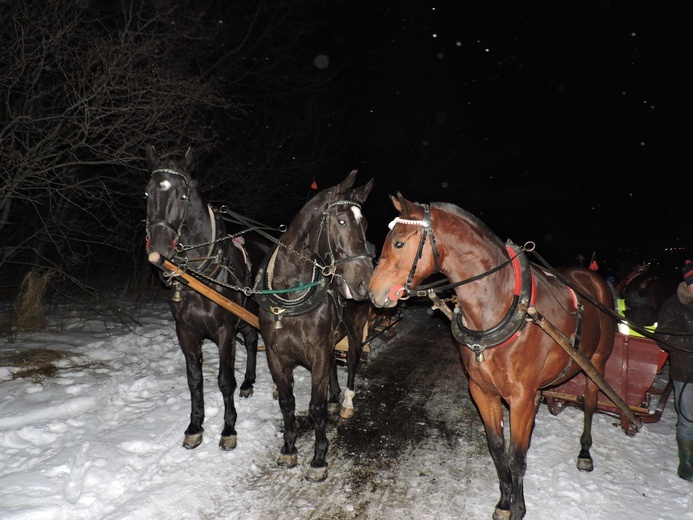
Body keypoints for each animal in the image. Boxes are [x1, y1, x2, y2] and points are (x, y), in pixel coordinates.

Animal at [145, 145, 270, 450]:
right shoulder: (186, 331)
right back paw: (249, 382)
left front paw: (229, 429)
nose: (159, 248)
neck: (201, 273)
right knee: (251, 340)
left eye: (183, 194)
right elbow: (194, 380)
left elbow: (225, 380)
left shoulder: (224, 331)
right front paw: (195, 426)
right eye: (148, 193)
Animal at [254, 170, 374, 480]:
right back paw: (335, 395)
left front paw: (319, 458)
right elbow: (287, 403)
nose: (365, 284)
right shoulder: (276, 355)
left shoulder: (318, 351)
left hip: (355, 331)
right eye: (341, 220)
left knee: (352, 360)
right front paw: (288, 449)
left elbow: (316, 407)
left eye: (365, 223)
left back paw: (345, 401)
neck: (290, 297)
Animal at [368, 193, 616, 516]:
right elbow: (497, 449)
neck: (500, 307)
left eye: (398, 243)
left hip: (595, 362)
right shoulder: (482, 391)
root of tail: (593, 278)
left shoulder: (521, 398)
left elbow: (517, 456)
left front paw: (519, 509)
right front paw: (504, 502)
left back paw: (585, 451)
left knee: (589, 402)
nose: (371, 292)